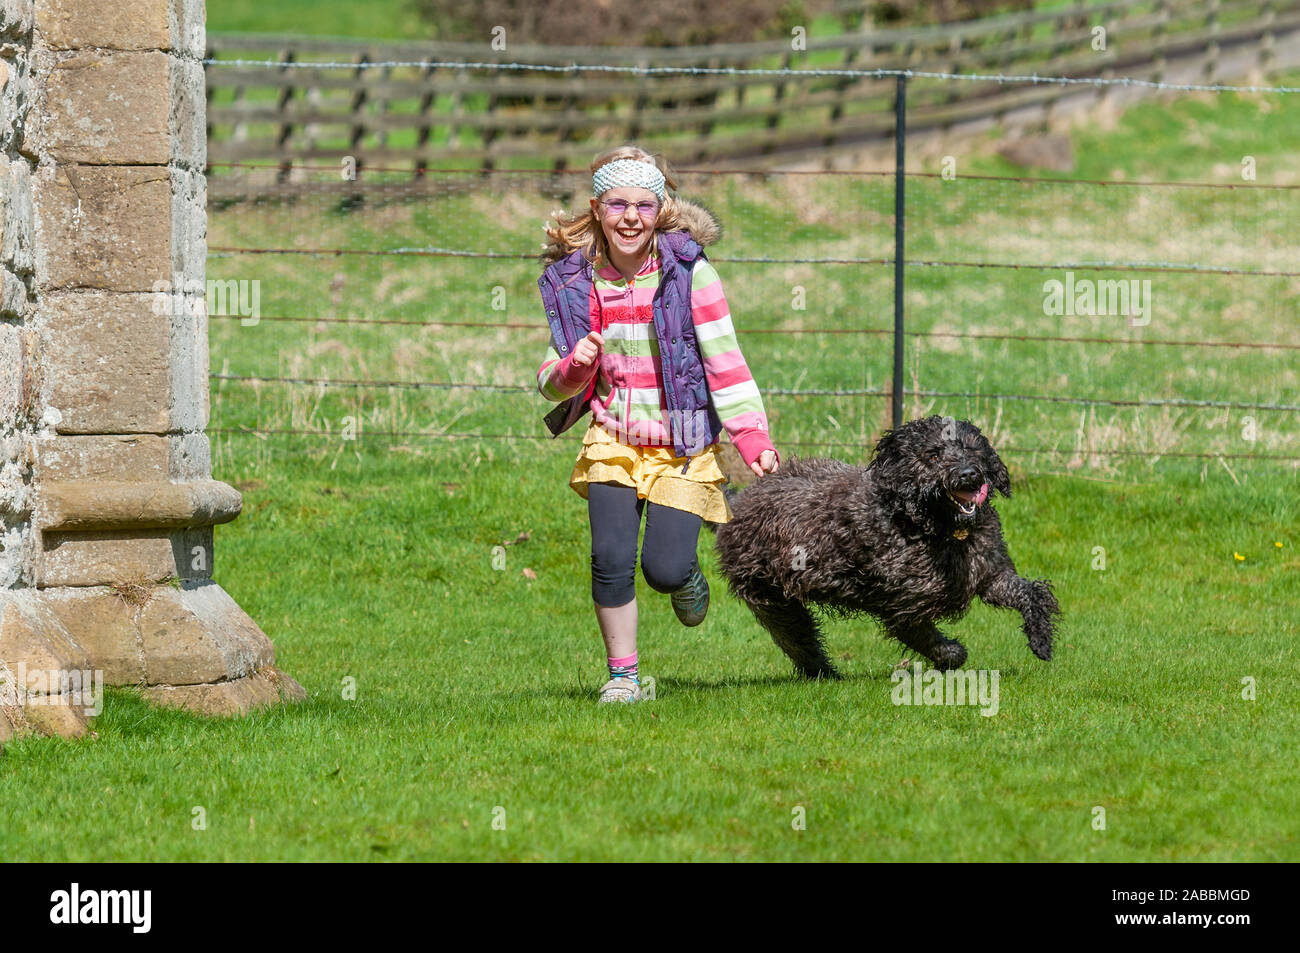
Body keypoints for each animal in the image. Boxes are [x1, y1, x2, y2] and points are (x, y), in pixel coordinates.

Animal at [717, 416, 1060, 676]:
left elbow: (1031, 593)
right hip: (774, 602)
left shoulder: (992, 577)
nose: (968, 474)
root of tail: (736, 506)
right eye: (932, 455)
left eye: (969, 448)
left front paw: (1041, 640)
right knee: (797, 639)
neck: (937, 528)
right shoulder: (904, 607)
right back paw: (823, 673)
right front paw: (950, 655)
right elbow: (936, 644)